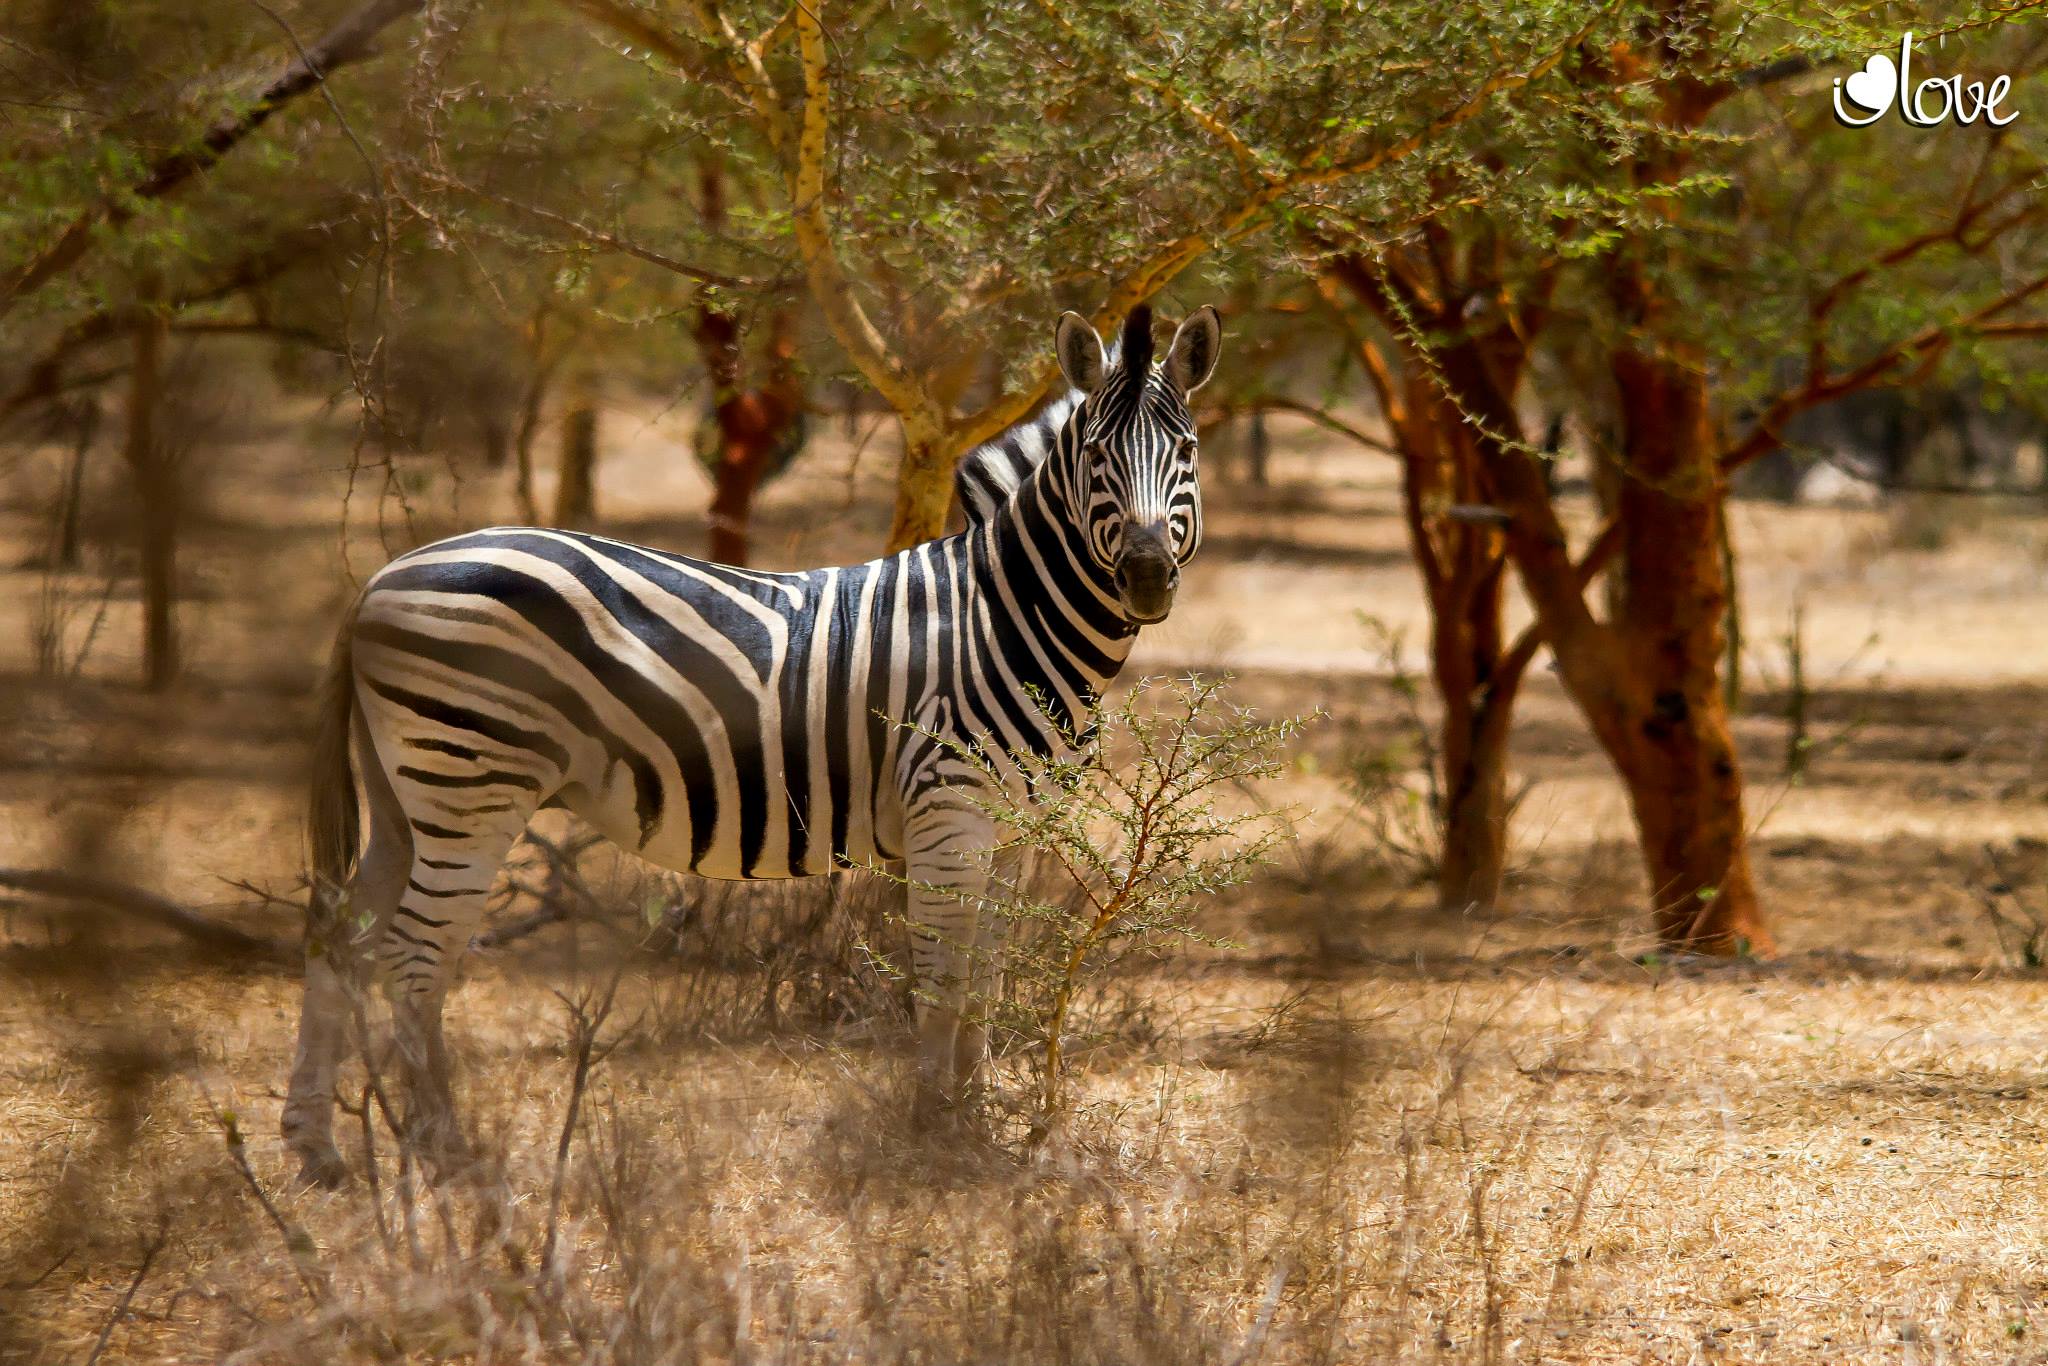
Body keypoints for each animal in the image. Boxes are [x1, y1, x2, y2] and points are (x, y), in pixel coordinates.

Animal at [283, 302, 1222, 1186]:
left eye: (1186, 452)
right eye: (1096, 457)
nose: (1146, 577)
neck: (1003, 613)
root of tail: (381, 576)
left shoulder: (1020, 823)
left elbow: (987, 979)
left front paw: (980, 1120)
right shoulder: (948, 807)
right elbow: (942, 979)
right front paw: (936, 1128)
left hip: (407, 793)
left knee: (341, 933)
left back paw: (316, 1150)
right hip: (472, 782)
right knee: (412, 955)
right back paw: (447, 1151)